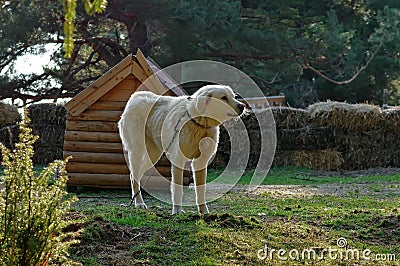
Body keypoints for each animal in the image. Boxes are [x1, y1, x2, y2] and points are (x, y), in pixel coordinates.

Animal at [117, 85, 245, 214]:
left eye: (233, 97)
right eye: (224, 98)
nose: (243, 106)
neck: (199, 123)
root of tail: (135, 97)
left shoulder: (200, 162)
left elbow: (201, 190)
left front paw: (203, 212)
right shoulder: (178, 159)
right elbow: (178, 189)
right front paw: (177, 211)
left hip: (153, 156)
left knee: (135, 175)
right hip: (137, 151)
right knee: (134, 177)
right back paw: (139, 203)